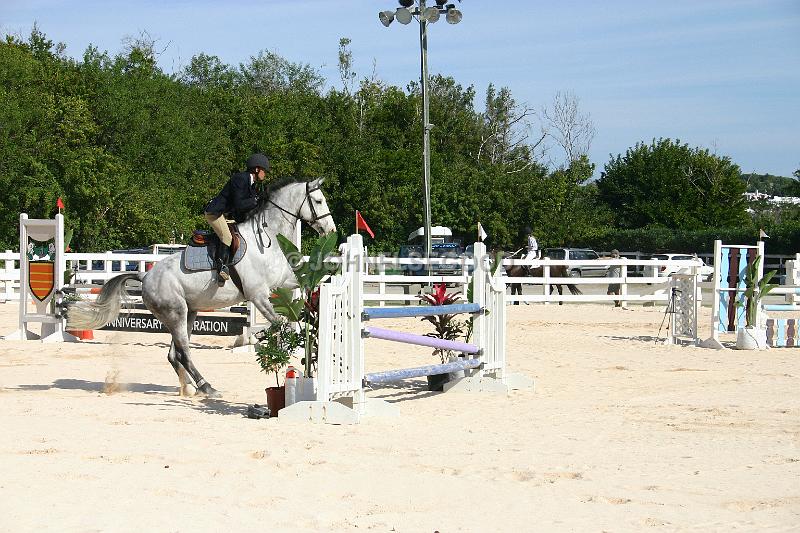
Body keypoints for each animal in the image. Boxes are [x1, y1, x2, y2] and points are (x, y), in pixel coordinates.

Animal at [65, 178, 334, 394]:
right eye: (319, 201)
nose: (331, 230)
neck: (266, 241)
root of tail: (145, 277)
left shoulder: (284, 282)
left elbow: (302, 299)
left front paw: (313, 312)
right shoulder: (258, 295)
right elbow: (281, 324)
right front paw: (261, 341)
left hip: (188, 314)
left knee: (174, 354)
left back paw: (189, 388)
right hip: (176, 313)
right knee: (183, 351)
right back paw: (206, 386)